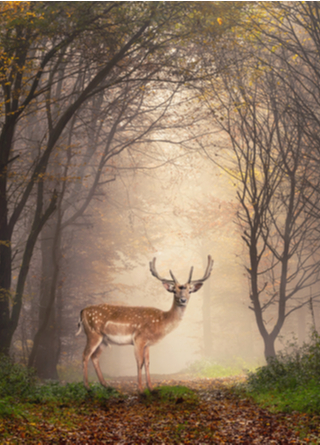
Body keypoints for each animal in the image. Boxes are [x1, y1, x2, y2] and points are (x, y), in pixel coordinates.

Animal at [76, 255, 214, 390]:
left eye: (190, 290)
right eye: (174, 290)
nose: (183, 300)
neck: (161, 322)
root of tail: (82, 311)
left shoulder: (147, 343)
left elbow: (147, 363)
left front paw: (151, 388)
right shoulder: (139, 338)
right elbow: (139, 362)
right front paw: (140, 389)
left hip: (104, 340)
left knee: (94, 357)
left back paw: (106, 385)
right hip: (93, 334)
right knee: (85, 355)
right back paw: (87, 386)